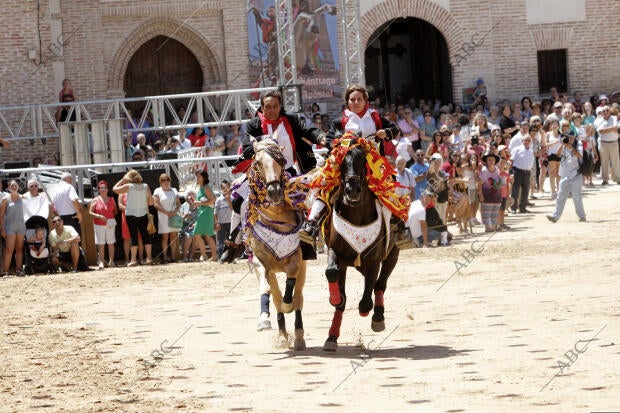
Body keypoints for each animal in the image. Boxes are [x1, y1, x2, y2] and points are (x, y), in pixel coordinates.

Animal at [245, 140, 308, 350]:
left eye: (280, 160)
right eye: (257, 162)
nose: (274, 192)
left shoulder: (297, 260)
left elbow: (291, 290)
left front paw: (288, 306)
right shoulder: (261, 261)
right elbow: (269, 290)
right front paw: (266, 321)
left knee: (298, 298)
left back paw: (299, 336)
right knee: (275, 295)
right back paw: (282, 334)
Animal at [322, 142, 400, 350]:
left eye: (363, 161)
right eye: (342, 163)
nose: (353, 189)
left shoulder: (374, 260)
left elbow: (367, 299)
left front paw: (368, 311)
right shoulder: (337, 255)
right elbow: (332, 275)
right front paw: (332, 334)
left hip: (393, 253)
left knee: (380, 284)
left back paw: (378, 317)